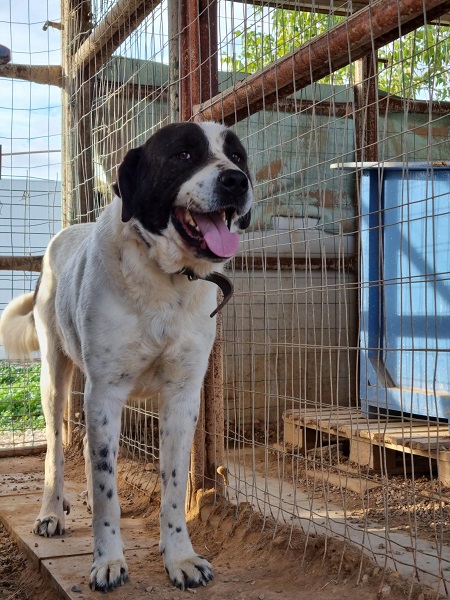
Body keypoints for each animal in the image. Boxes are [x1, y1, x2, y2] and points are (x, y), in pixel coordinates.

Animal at [0, 120, 253, 592]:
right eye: (183, 155)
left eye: (237, 156)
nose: (236, 181)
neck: (166, 281)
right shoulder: (106, 394)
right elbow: (107, 495)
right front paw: (108, 561)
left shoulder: (182, 398)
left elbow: (173, 488)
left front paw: (180, 557)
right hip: (55, 380)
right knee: (56, 449)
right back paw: (50, 511)